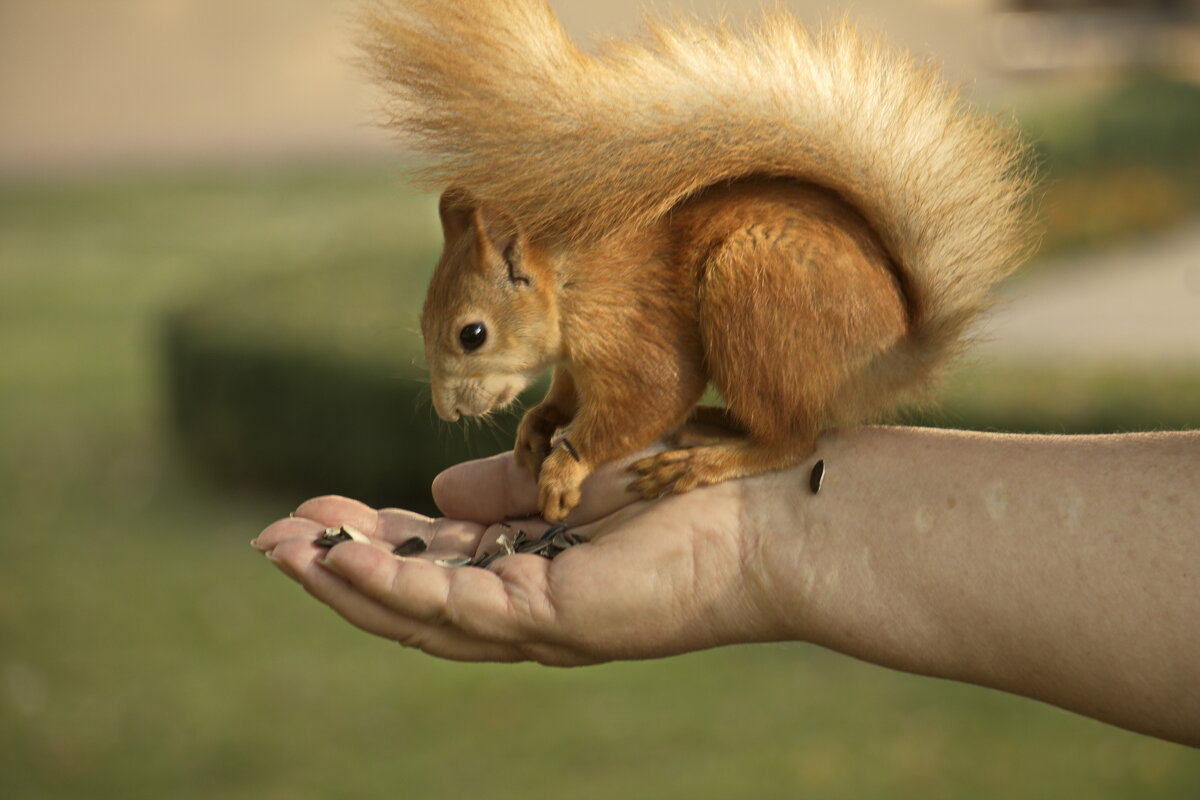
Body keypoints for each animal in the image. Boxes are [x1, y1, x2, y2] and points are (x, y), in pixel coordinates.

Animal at [355, 0, 1032, 522]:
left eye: (472, 334)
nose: (448, 410)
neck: (570, 285)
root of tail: (893, 353)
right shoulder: (577, 360)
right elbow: (569, 393)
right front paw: (536, 426)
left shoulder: (630, 328)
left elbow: (653, 394)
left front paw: (563, 469)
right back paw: (708, 424)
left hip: (754, 293)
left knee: (792, 439)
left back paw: (702, 457)